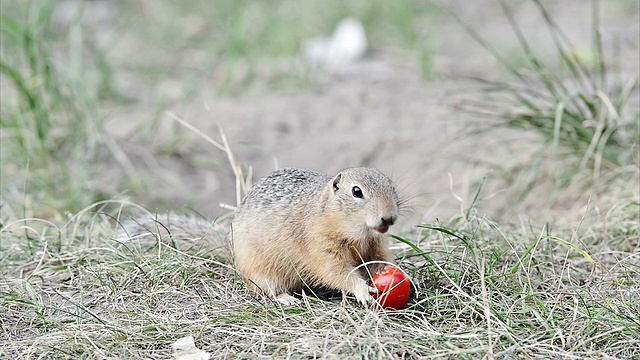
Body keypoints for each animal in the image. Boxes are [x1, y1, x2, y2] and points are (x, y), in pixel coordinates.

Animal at [122, 167, 400, 306]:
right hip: (260, 271)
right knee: (266, 289)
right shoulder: (321, 247)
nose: (389, 218)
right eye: (357, 192)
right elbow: (338, 272)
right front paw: (362, 291)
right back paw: (286, 299)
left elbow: (381, 260)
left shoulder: (375, 245)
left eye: (392, 186)